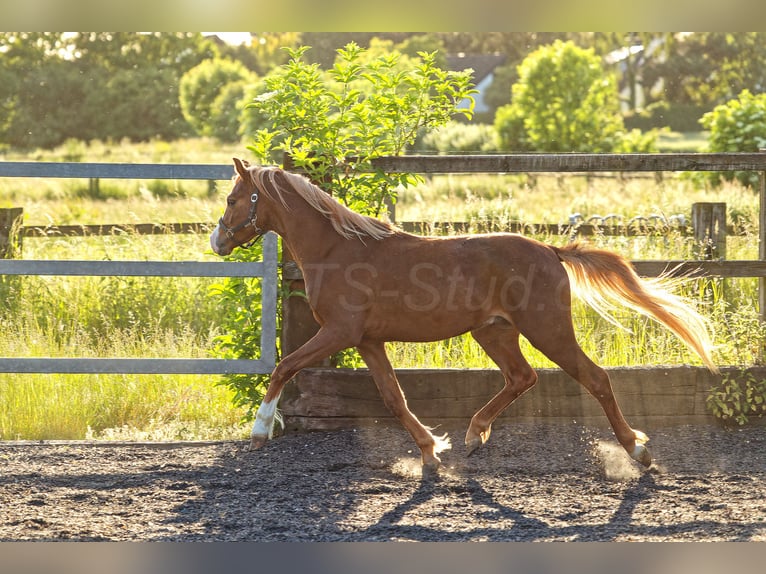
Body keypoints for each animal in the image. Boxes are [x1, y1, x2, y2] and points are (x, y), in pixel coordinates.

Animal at [207, 159, 716, 472]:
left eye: (232, 200)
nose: (217, 240)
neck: (337, 250)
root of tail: (550, 250)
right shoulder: (367, 340)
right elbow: (393, 398)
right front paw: (431, 452)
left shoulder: (338, 332)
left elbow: (284, 367)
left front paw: (259, 432)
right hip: (494, 332)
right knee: (522, 378)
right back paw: (474, 435)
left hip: (546, 330)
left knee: (595, 378)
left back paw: (637, 451)